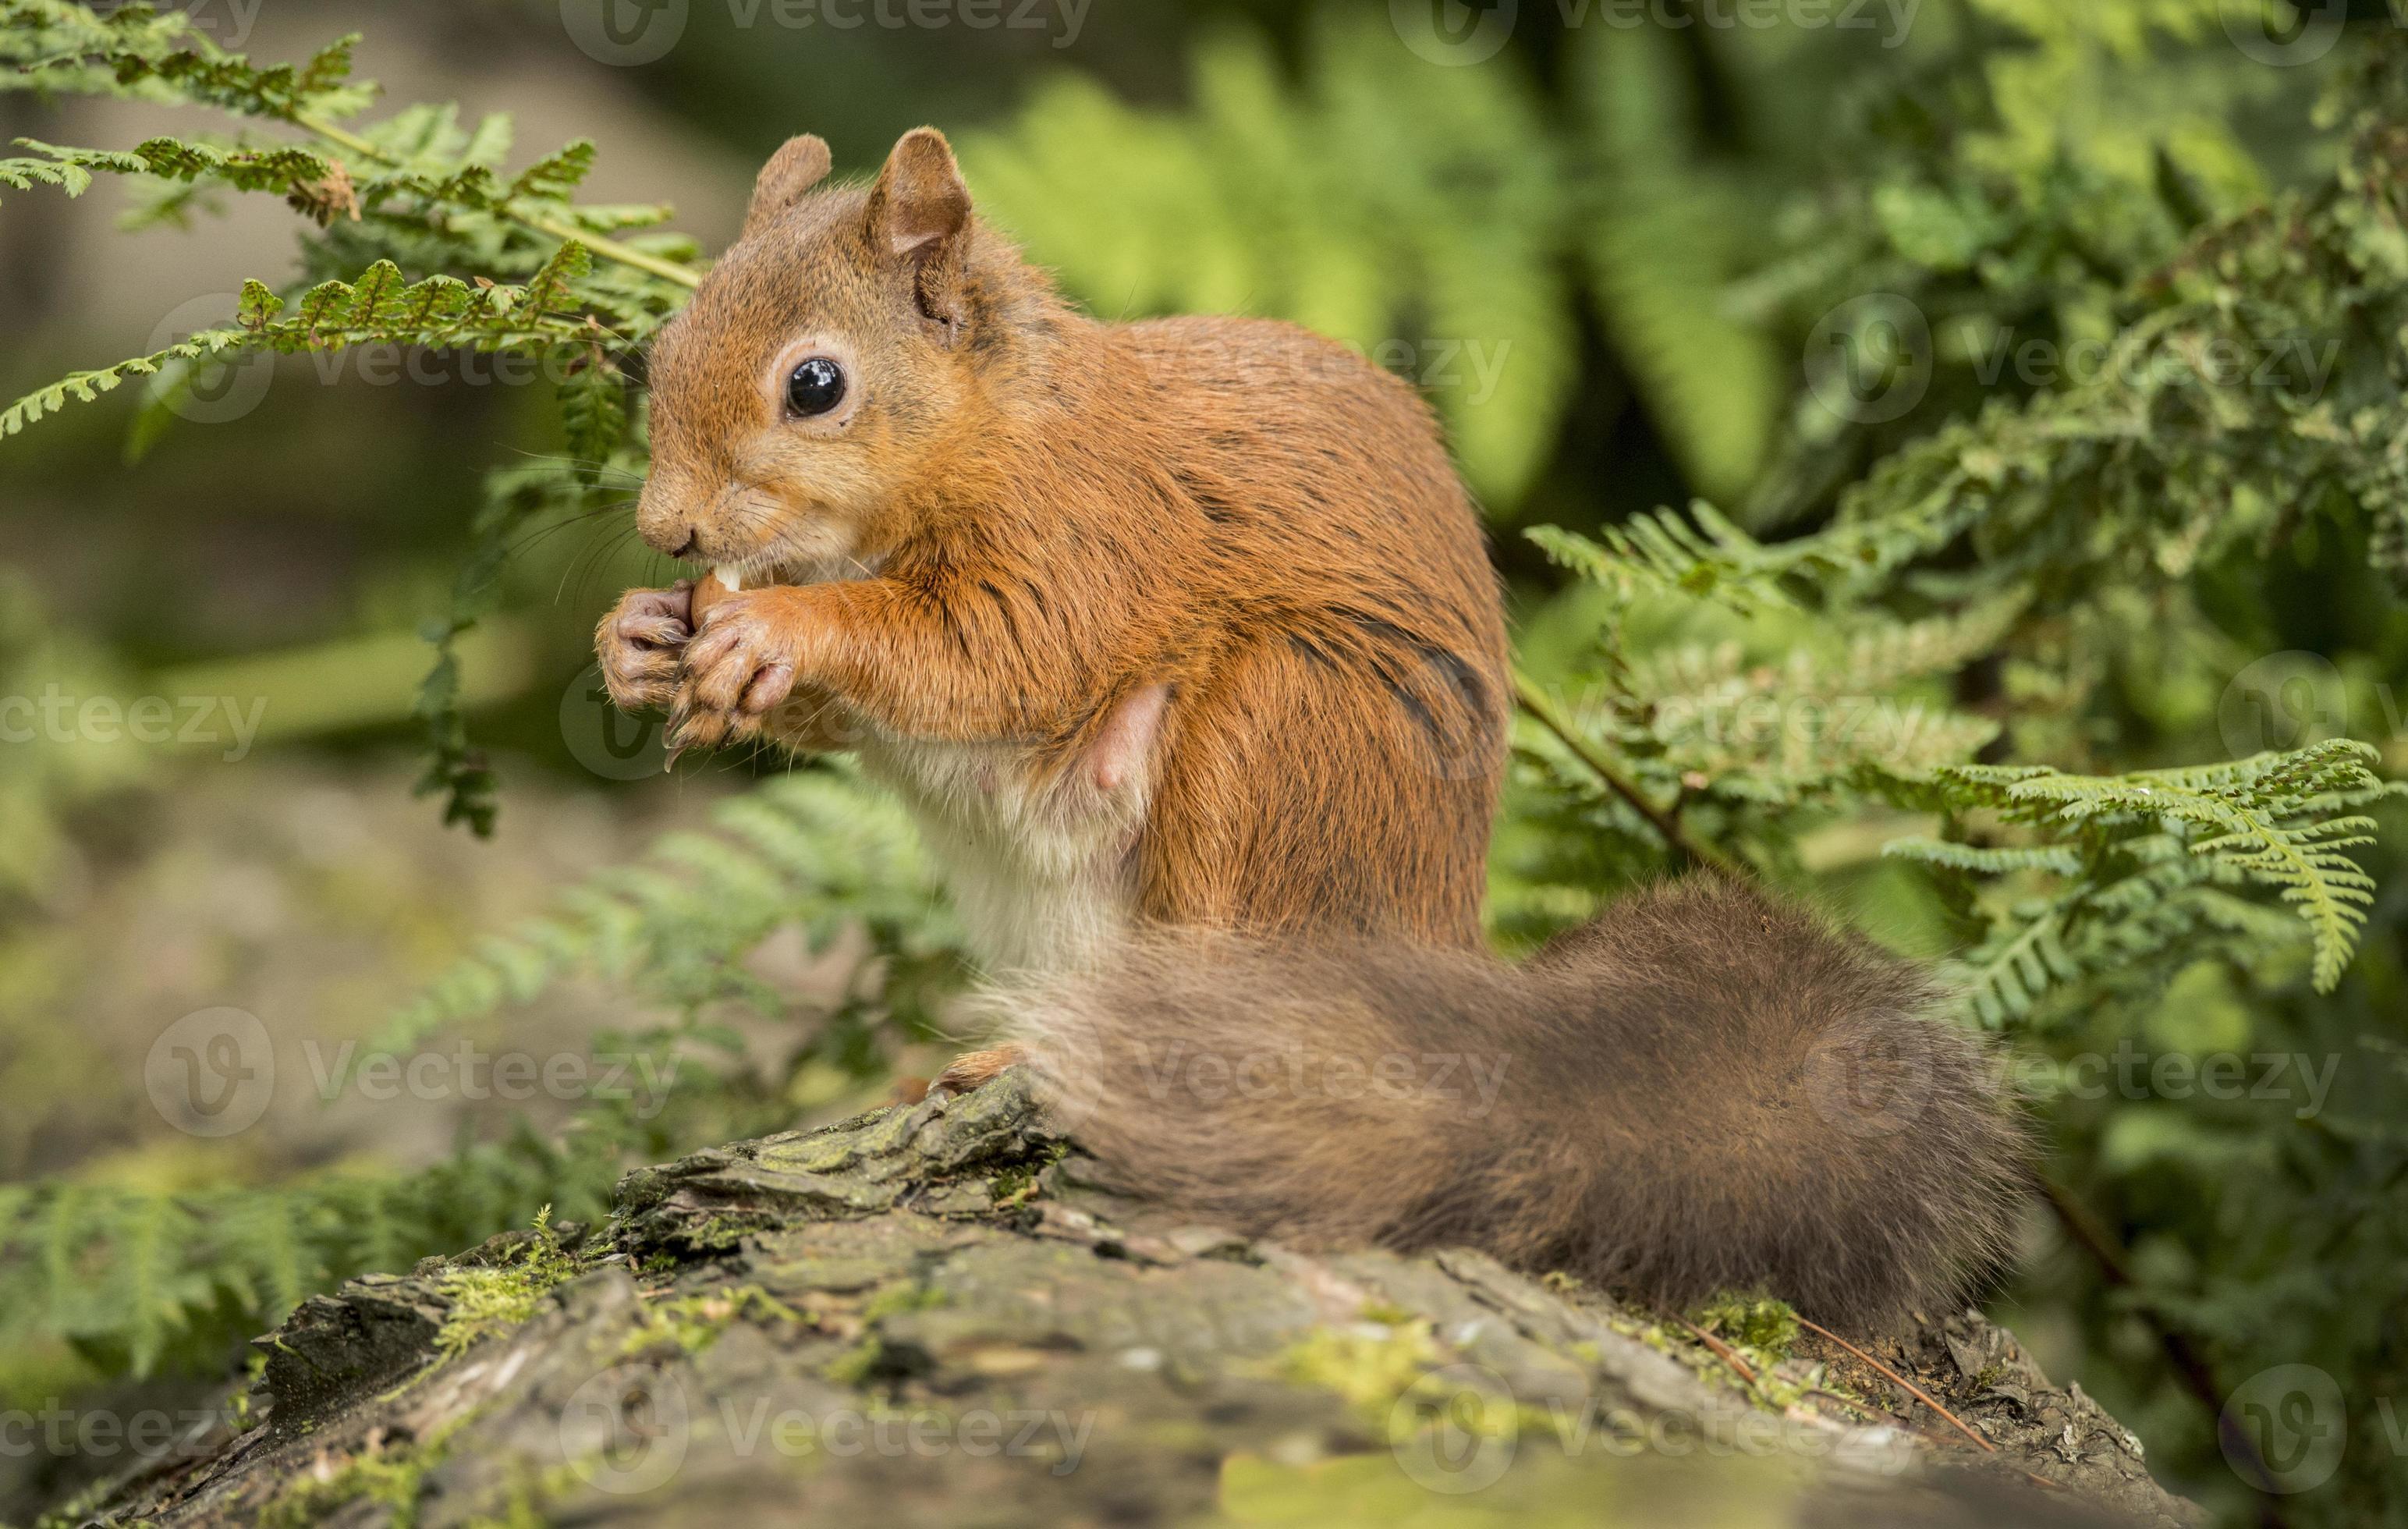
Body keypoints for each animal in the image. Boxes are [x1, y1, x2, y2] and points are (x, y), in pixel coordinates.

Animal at [599, 127, 2028, 1331]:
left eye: (815, 385)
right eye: (655, 356)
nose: (665, 530)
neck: (989, 426)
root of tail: (1437, 941)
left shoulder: (1092, 531)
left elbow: (996, 650)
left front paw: (781, 630)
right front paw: (636, 637)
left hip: (1279, 741)